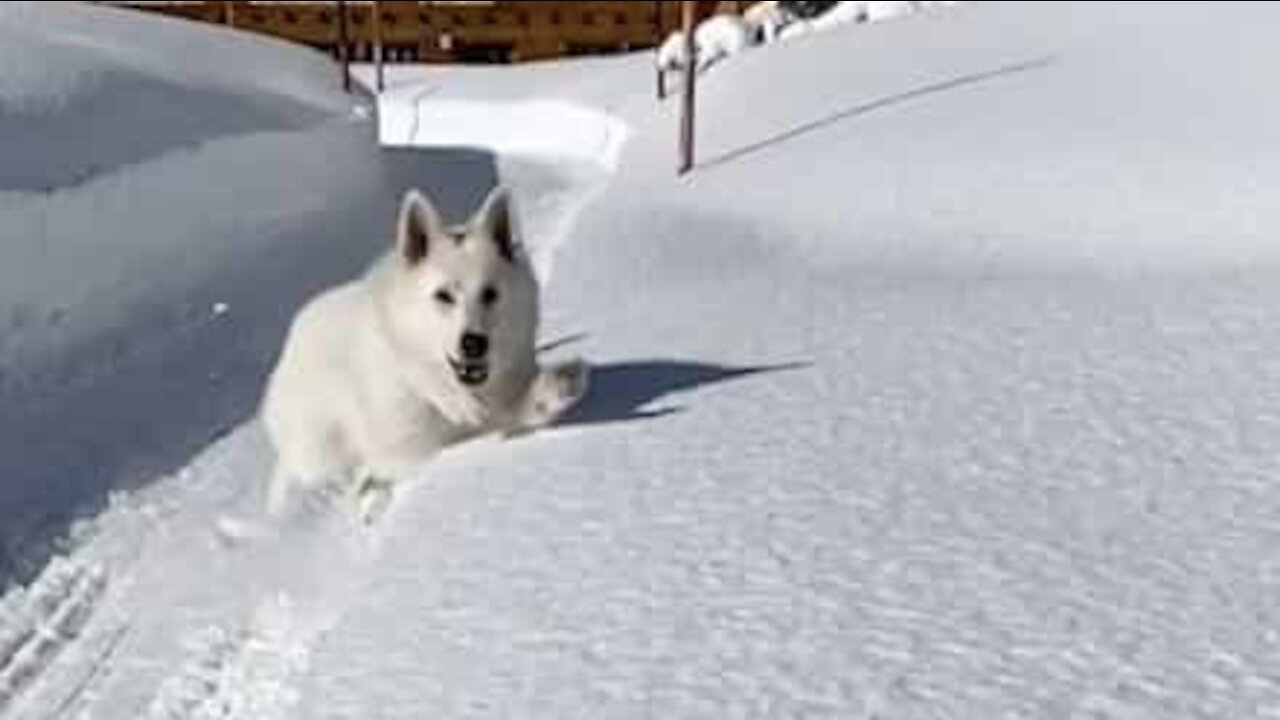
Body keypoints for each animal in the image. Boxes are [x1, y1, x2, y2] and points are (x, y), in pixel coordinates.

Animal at [259, 184, 588, 520]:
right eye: (443, 296)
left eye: (490, 294)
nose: (474, 343)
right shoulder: (410, 450)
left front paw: (553, 393)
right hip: (320, 446)